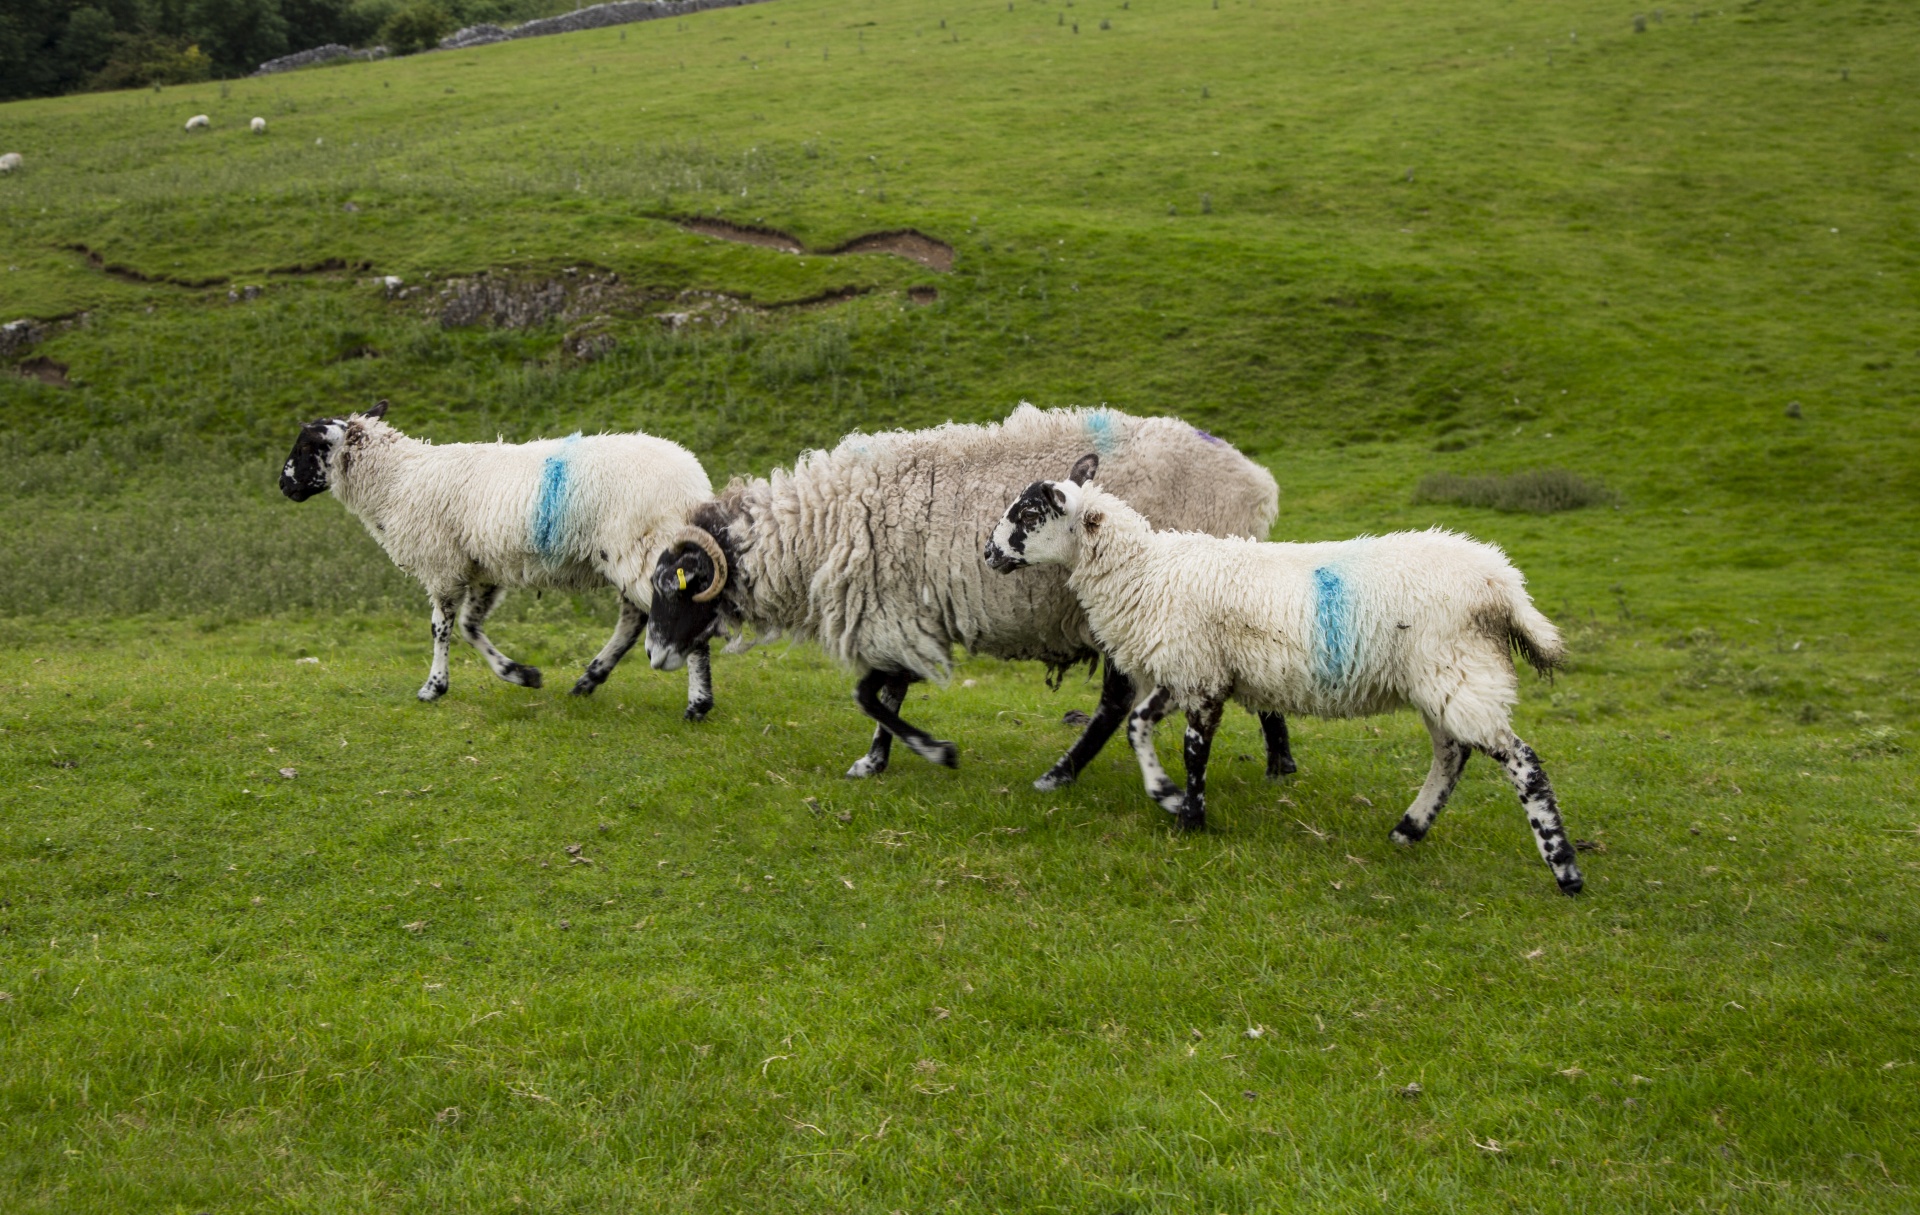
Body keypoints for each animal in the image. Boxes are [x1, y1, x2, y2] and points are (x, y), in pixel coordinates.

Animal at [278, 397, 714, 710]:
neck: (397, 480)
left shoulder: (442, 564)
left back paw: (698, 703)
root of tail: (694, 483)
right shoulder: (481, 569)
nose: (283, 486)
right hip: (630, 555)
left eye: (305, 446)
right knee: (634, 618)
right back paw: (589, 681)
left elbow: (440, 628)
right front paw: (520, 674)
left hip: (640, 549)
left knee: (681, 610)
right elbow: (470, 627)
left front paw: (433, 687)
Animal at [637, 403, 1297, 786]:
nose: (652, 655)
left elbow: (871, 697)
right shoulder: (900, 615)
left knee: (1115, 701)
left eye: (675, 586)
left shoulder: (895, 615)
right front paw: (876, 762)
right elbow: (886, 698)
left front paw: (934, 752)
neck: (820, 526)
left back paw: (1061, 773)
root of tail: (1256, 486)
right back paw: (1280, 761)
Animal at [983, 454, 1582, 890]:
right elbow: (1137, 726)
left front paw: (1190, 818)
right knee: (1452, 753)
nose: (987, 554)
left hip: (1458, 669)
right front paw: (1166, 794)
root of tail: (1504, 584)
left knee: (1523, 763)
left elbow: (1194, 751)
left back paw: (1565, 870)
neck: (1146, 570)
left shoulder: (1201, 676)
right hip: (1441, 678)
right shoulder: (1193, 671)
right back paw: (1408, 830)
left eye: (1028, 515)